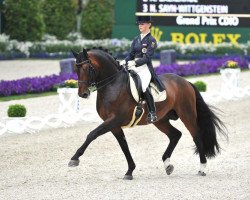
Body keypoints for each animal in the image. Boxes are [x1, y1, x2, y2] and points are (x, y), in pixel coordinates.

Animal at [68, 47, 227, 180]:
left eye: (87, 68)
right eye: (76, 69)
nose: (83, 94)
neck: (113, 85)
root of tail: (186, 82)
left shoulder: (114, 120)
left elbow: (92, 134)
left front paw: (74, 159)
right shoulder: (114, 125)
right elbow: (124, 146)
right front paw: (130, 171)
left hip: (187, 115)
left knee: (196, 136)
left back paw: (202, 168)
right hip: (160, 120)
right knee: (175, 135)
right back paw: (167, 165)